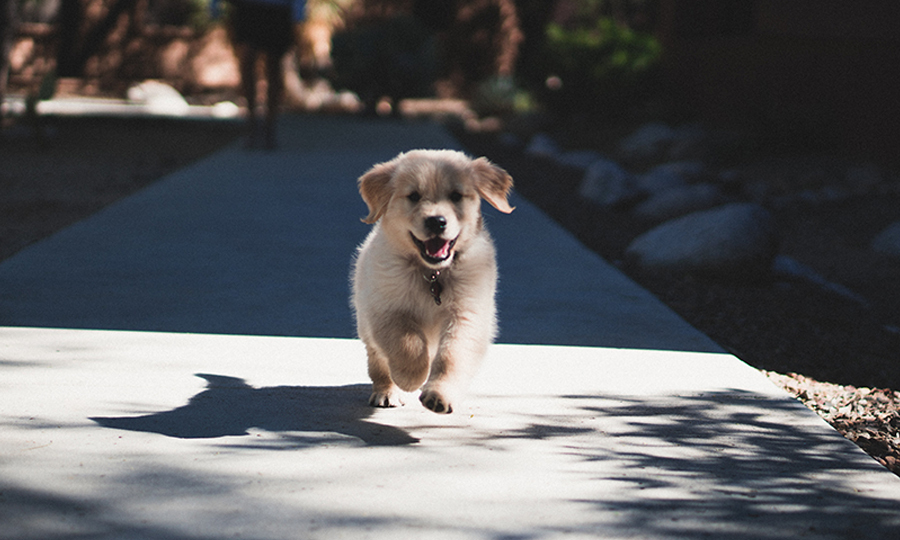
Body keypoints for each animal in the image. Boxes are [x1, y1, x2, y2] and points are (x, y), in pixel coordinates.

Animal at [356, 150, 516, 416]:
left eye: (456, 196)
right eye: (413, 196)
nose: (436, 221)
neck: (432, 274)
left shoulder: (467, 314)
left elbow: (452, 356)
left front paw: (439, 395)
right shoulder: (386, 309)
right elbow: (407, 342)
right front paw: (410, 377)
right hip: (365, 323)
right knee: (378, 362)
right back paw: (386, 391)